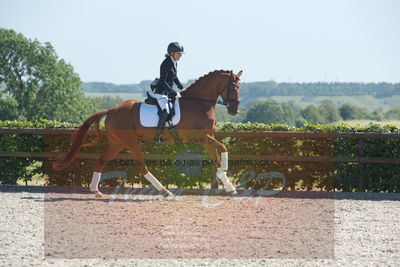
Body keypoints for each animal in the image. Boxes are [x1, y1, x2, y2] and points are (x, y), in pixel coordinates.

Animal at [52, 70, 242, 198]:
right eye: (233, 88)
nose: (234, 110)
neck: (199, 103)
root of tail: (111, 110)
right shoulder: (201, 137)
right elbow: (223, 148)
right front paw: (227, 177)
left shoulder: (207, 139)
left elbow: (217, 158)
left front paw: (229, 186)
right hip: (131, 142)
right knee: (142, 166)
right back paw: (164, 191)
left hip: (118, 143)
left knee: (102, 160)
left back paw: (95, 190)